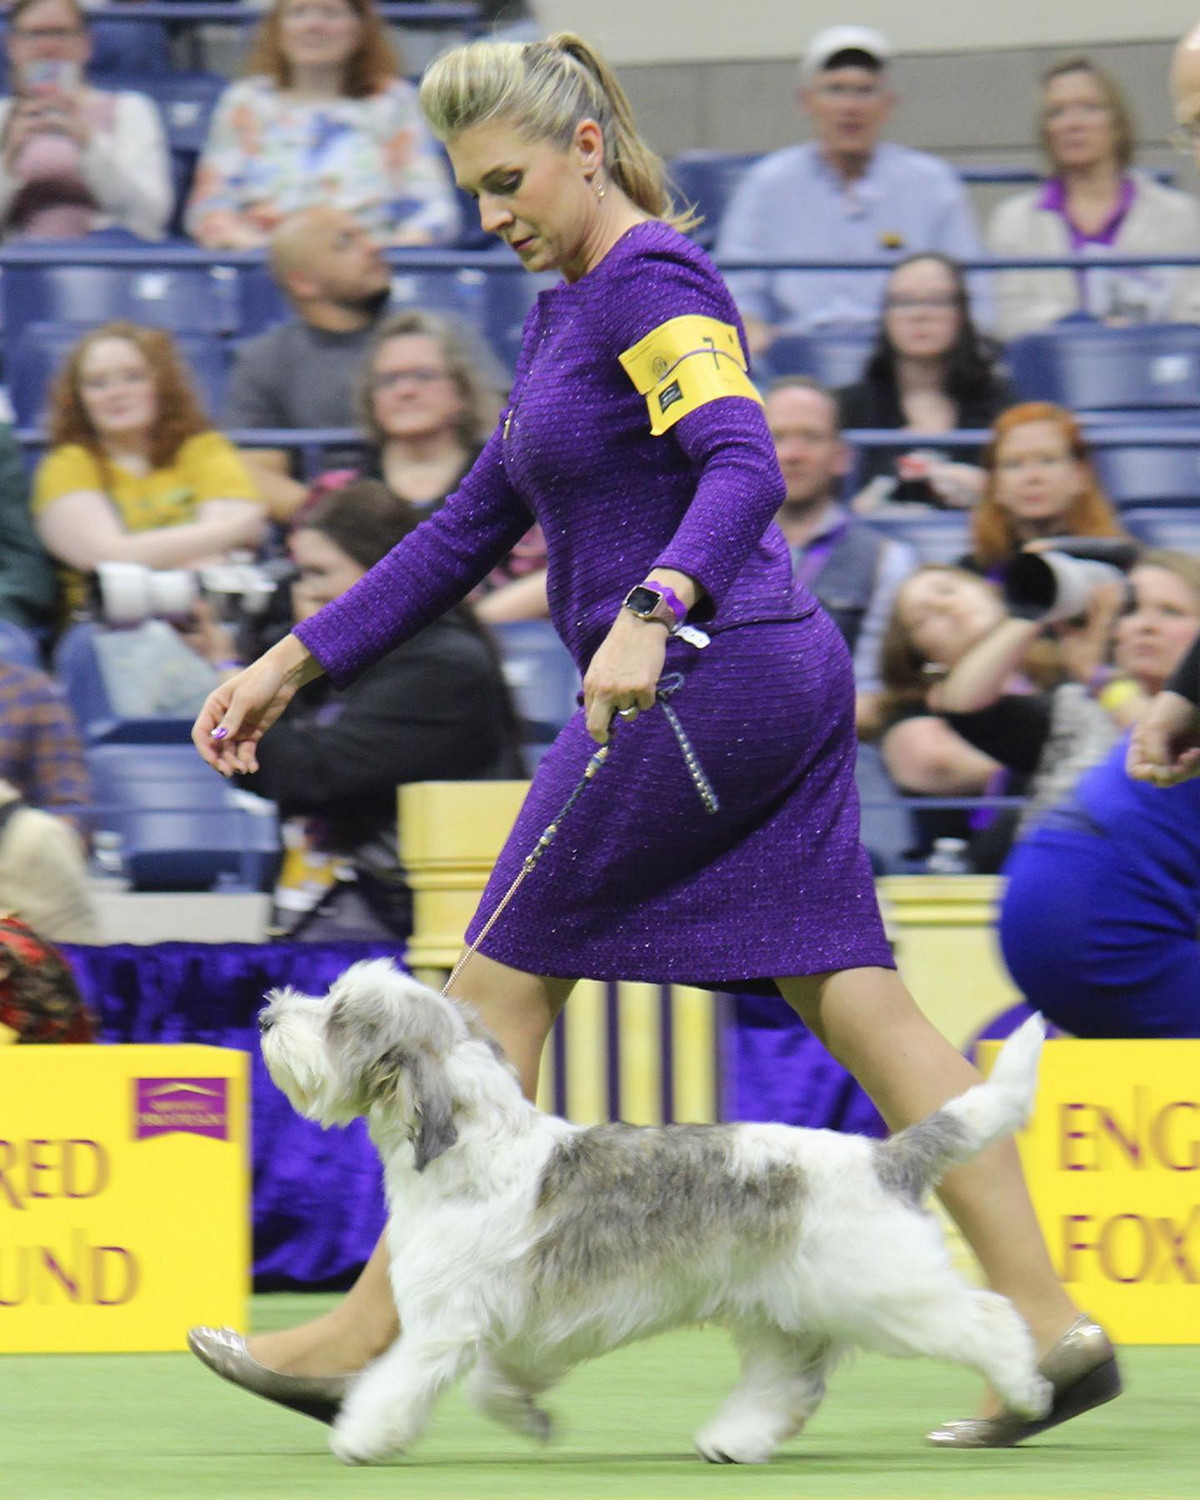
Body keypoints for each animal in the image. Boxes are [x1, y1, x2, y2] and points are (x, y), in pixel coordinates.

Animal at [259, 960, 1050, 1464]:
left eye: (337, 1015)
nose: (268, 1011)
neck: (474, 1146)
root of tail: (886, 1157)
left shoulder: (443, 1325)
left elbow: (395, 1383)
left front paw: (361, 1437)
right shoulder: (517, 1329)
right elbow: (494, 1388)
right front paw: (531, 1419)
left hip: (887, 1291)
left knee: (989, 1318)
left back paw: (1025, 1388)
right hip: (779, 1310)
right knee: (788, 1383)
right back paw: (734, 1440)